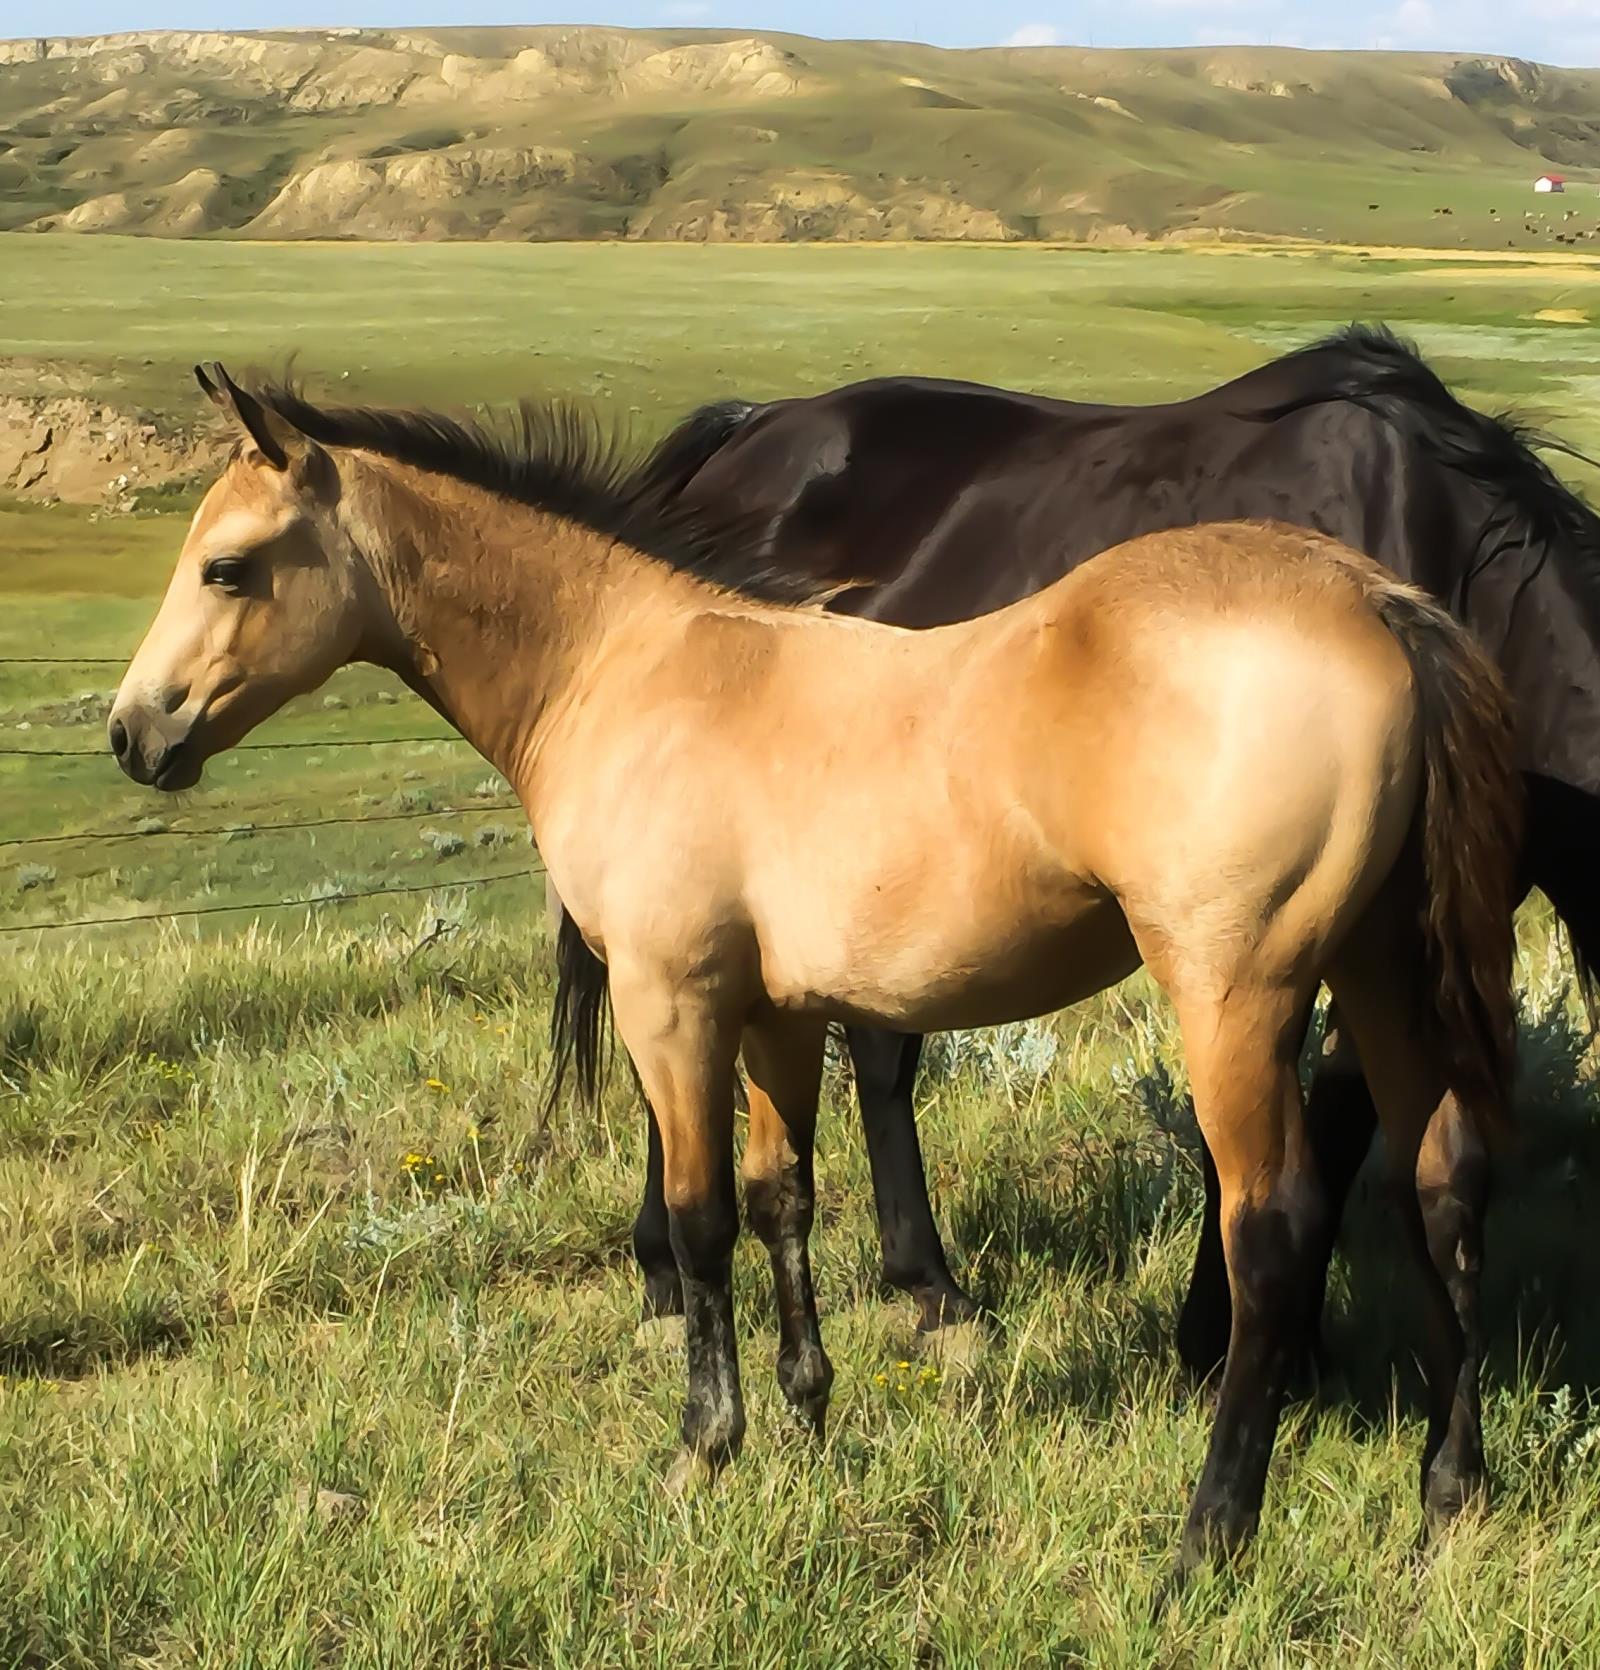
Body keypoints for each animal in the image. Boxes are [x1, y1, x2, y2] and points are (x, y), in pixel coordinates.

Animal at [110, 365, 1519, 1577]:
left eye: (227, 566)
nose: (134, 733)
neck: (634, 668)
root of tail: (1376, 602)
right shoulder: (775, 1014)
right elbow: (782, 1197)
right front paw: (807, 1412)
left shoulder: (673, 1005)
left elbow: (700, 1218)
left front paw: (703, 1447)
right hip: (1383, 975)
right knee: (1439, 1185)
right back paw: (1448, 1496)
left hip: (1234, 996)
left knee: (1271, 1228)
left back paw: (1207, 1535)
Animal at [579, 323, 1600, 1376]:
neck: (1455, 571)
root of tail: (747, 433)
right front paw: (1221, 1341)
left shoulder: (1393, 931)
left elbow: (1346, 1120)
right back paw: (675, 1279)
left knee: (870, 1050)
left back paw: (926, 1289)